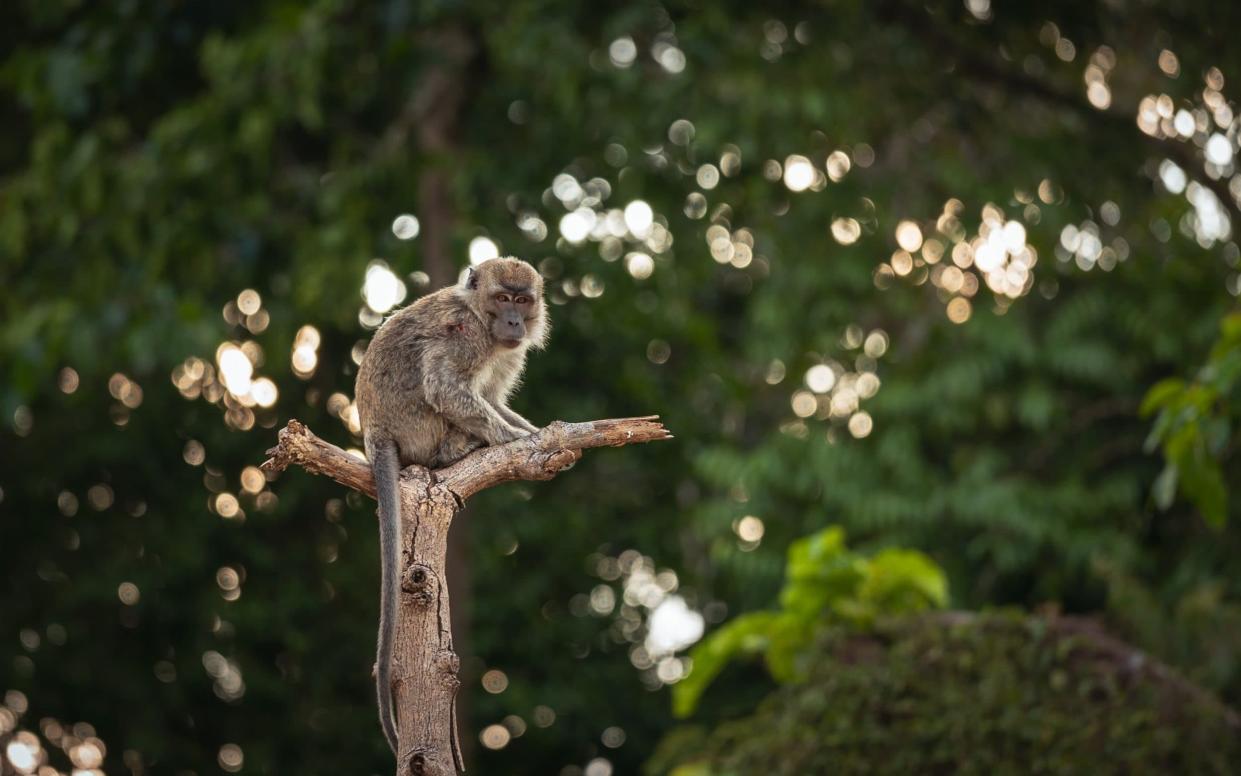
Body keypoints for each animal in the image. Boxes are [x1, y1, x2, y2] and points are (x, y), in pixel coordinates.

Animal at [349, 257, 543, 754]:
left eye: (522, 300)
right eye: (502, 298)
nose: (513, 322)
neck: (479, 313)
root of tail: (375, 434)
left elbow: (491, 399)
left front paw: (536, 429)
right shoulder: (465, 336)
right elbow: (445, 387)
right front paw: (513, 438)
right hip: (418, 430)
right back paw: (456, 450)